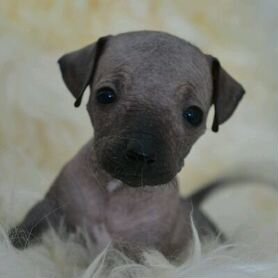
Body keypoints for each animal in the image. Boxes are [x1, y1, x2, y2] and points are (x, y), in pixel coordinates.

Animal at [8, 31, 244, 260]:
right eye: (105, 95)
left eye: (193, 115)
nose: (142, 153)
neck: (116, 189)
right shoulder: (52, 207)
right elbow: (29, 225)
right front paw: (13, 243)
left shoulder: (141, 250)